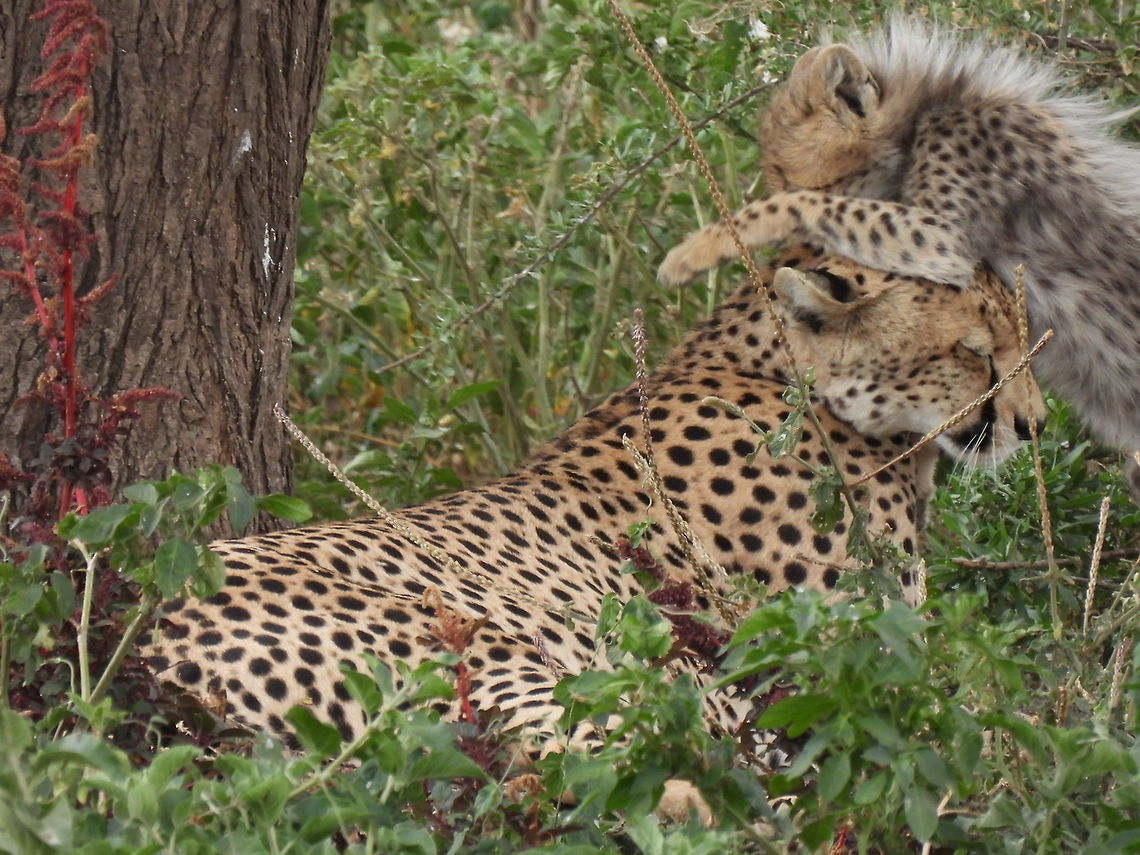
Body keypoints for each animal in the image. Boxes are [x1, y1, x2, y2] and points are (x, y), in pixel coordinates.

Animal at [657, 16, 1140, 454]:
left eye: (793, 182)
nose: (795, 252)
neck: (923, 110)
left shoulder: (944, 236)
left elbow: (821, 208)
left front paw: (695, 251)